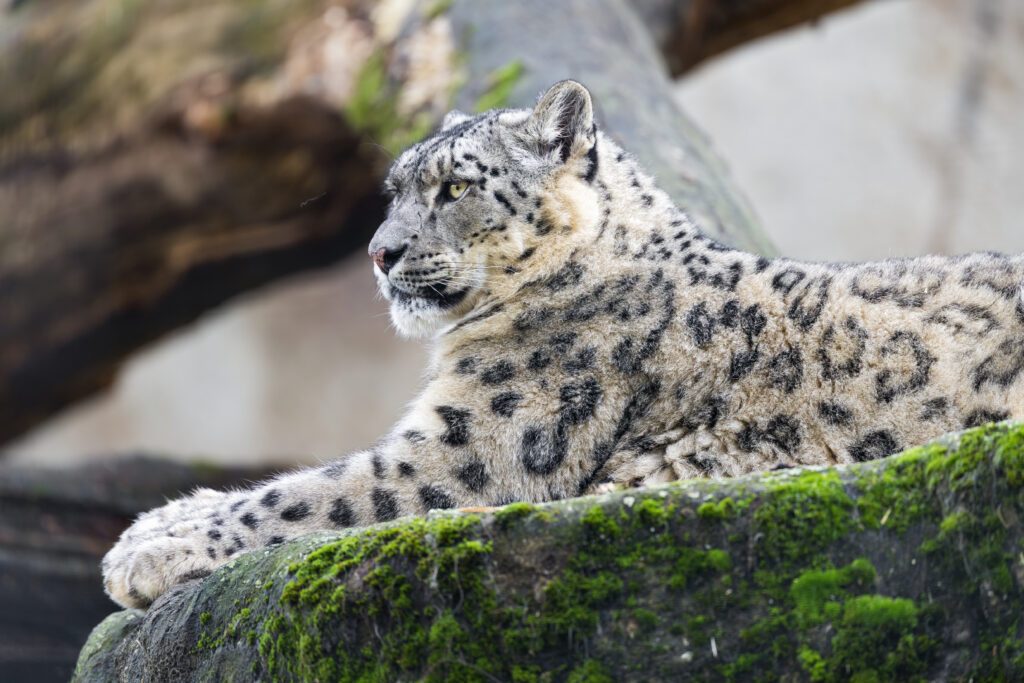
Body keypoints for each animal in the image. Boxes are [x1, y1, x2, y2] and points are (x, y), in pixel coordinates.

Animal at [103, 80, 1024, 609]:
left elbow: (311, 492)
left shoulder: (465, 451)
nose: (379, 252)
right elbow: (291, 483)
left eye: (456, 186)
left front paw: (147, 552)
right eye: (395, 188)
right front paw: (158, 519)